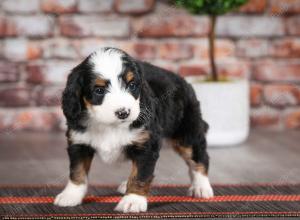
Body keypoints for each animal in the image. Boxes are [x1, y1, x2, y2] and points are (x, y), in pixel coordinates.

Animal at [54, 47, 213, 213]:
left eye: (131, 85)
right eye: (99, 90)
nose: (123, 112)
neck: (110, 126)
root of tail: (184, 82)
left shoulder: (146, 145)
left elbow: (140, 174)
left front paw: (133, 200)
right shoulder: (79, 142)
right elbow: (77, 170)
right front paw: (71, 195)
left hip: (187, 134)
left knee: (200, 158)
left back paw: (201, 187)